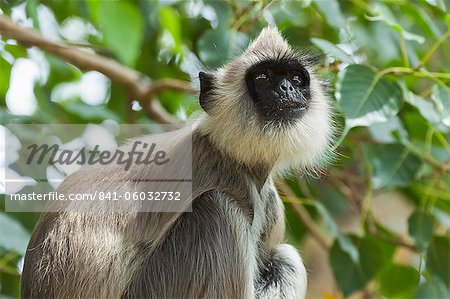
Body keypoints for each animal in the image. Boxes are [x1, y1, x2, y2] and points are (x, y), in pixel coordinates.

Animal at [22, 27, 330, 298]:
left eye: (295, 78)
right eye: (263, 77)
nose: (286, 88)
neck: (232, 158)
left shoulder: (269, 200)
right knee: (217, 209)